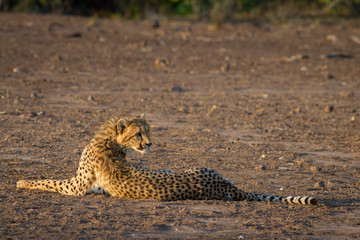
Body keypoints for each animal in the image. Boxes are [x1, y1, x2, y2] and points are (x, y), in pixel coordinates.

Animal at [16, 114, 320, 204]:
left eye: (148, 132)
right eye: (138, 134)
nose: (150, 144)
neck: (110, 140)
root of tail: (227, 187)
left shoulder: (77, 186)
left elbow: (48, 181)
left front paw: (21, 182)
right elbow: (50, 179)